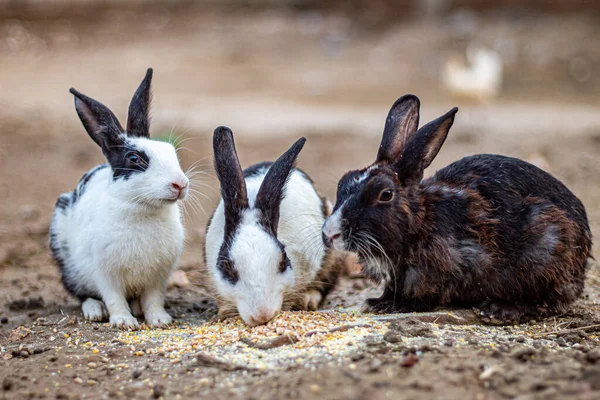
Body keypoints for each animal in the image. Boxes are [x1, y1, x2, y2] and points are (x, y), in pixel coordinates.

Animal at [50, 68, 189, 328]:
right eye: (134, 159)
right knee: (82, 294)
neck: (142, 208)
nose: (180, 184)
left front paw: (160, 320)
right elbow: (114, 297)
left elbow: (154, 299)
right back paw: (95, 311)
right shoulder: (105, 273)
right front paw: (124, 322)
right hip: (68, 264)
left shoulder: (158, 277)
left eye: (171, 151)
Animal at [322, 94, 592, 324]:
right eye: (342, 183)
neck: (421, 222)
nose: (330, 233)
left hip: (547, 254)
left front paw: (388, 306)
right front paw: (377, 301)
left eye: (385, 195)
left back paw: (499, 310)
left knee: (547, 303)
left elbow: (422, 297)